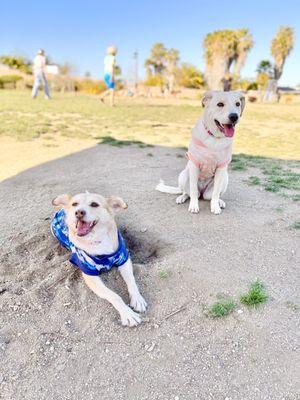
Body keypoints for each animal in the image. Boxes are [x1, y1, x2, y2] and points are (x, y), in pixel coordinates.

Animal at [51, 192, 148, 326]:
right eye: (74, 204)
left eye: (94, 204)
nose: (78, 212)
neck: (98, 240)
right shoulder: (90, 275)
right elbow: (114, 295)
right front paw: (128, 314)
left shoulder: (124, 259)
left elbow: (132, 281)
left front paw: (138, 299)